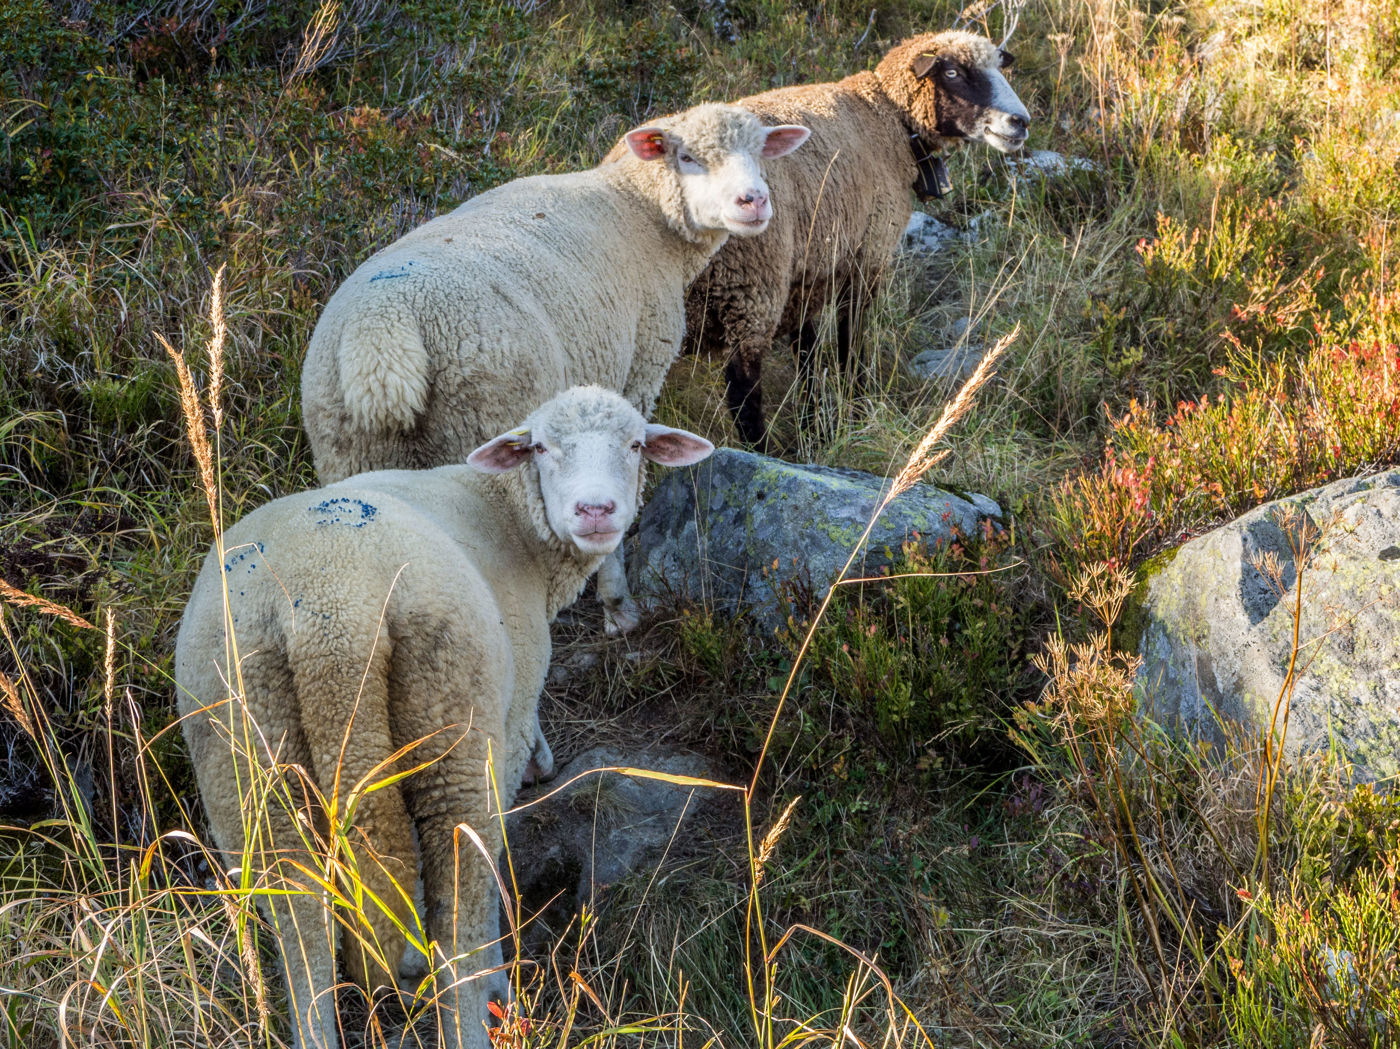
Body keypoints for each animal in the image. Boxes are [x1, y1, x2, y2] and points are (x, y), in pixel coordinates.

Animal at [174, 385, 714, 1049]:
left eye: (636, 444)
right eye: (542, 447)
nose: (595, 510)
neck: (511, 521)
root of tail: (329, 607)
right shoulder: (509, 714)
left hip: (245, 748)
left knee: (300, 923)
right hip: (449, 716)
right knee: (458, 893)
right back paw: (477, 1001)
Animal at [300, 102, 809, 632]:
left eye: (759, 151)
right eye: (687, 157)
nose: (754, 200)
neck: (641, 213)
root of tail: (384, 332)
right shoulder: (640, 370)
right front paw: (617, 605)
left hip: (348, 451)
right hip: (479, 425)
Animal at [659, 30, 1031, 448]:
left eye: (998, 68)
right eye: (952, 72)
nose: (1020, 122)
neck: (886, 117)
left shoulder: (808, 269)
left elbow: (807, 349)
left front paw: (814, 421)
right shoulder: (866, 256)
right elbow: (851, 342)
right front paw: (857, 410)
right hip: (751, 285)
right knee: (743, 389)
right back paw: (765, 452)